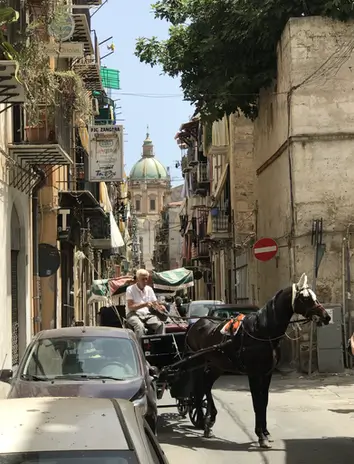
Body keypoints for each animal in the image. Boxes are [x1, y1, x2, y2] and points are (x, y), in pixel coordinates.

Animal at [184, 274, 330, 448]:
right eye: (306, 297)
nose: (326, 317)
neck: (262, 331)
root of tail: (196, 324)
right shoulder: (253, 374)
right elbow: (256, 402)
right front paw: (261, 436)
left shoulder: (267, 373)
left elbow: (264, 401)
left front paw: (266, 432)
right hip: (196, 364)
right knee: (198, 388)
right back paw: (202, 419)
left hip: (217, 365)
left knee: (206, 384)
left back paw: (208, 421)